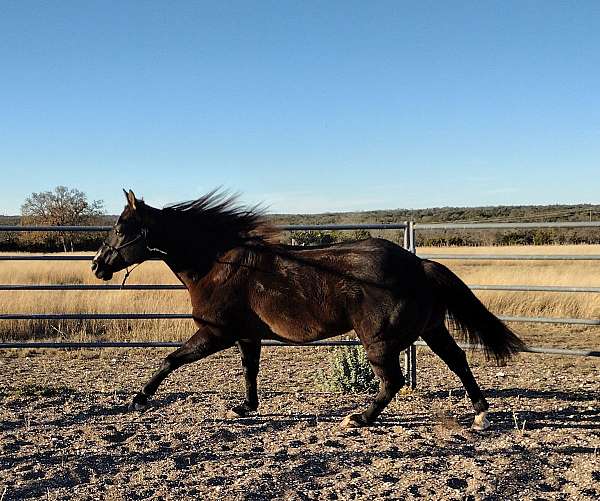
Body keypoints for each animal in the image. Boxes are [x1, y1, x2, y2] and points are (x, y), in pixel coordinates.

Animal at [92, 189, 524, 428]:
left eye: (121, 227)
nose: (97, 265)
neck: (217, 264)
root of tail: (418, 264)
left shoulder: (217, 332)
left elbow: (171, 360)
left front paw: (140, 398)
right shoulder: (247, 336)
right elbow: (249, 371)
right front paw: (245, 408)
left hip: (379, 341)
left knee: (393, 382)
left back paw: (358, 418)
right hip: (431, 329)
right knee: (457, 361)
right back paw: (481, 414)